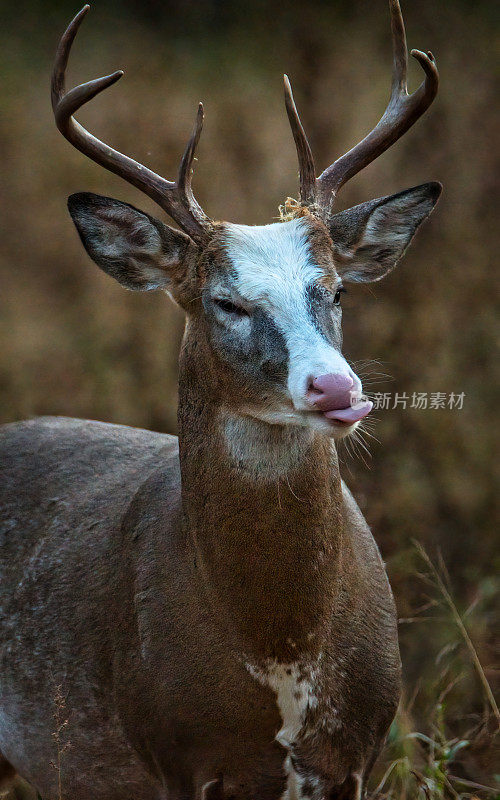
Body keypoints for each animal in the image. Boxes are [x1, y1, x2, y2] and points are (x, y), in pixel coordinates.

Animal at [0, 3, 440, 796]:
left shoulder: (358, 751)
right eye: (225, 302)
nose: (336, 387)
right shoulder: (174, 754)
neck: (279, 652)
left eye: (336, 290)